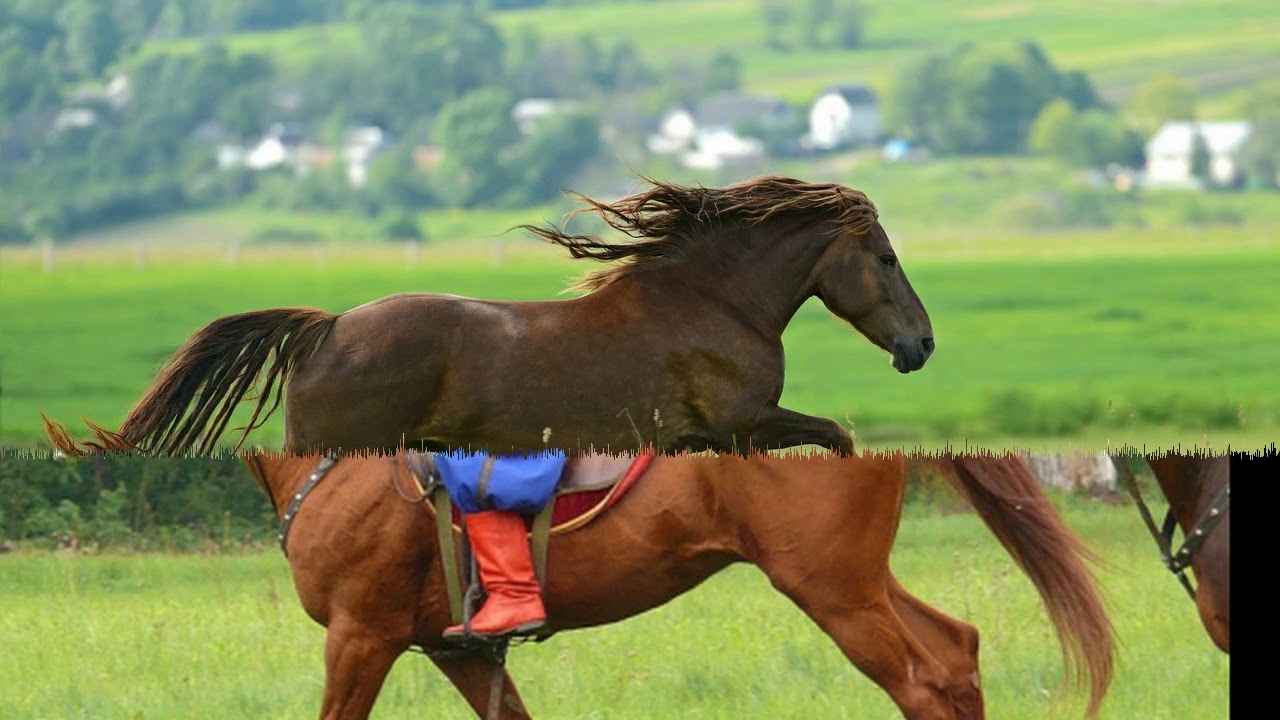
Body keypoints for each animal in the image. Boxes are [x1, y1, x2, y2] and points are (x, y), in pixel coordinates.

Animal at [45, 174, 936, 453]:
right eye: (887, 259)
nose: (921, 345)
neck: (713, 302)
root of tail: (327, 329)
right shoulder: (743, 425)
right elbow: (840, 439)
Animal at [238, 450, 1111, 712]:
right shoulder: (455, 648)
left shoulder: (363, 636)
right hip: (856, 581)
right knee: (955, 652)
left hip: (834, 593)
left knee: (924, 680)